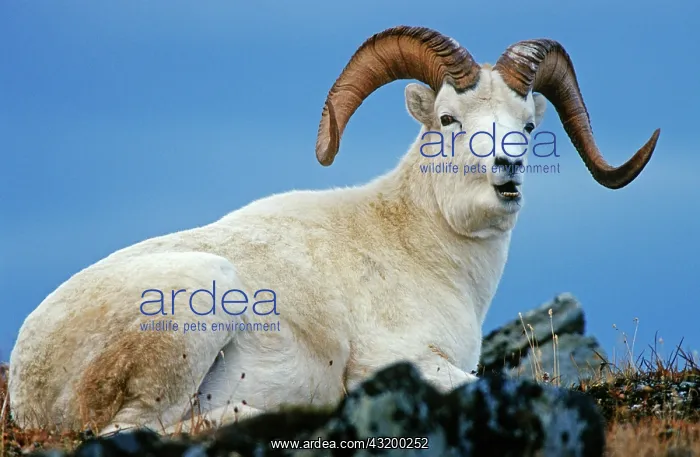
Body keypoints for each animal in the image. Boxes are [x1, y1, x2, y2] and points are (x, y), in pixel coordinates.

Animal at [8, 25, 660, 435]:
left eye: (526, 126)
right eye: (449, 119)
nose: (507, 171)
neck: (418, 249)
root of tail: (27, 386)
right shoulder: (403, 361)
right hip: (200, 300)